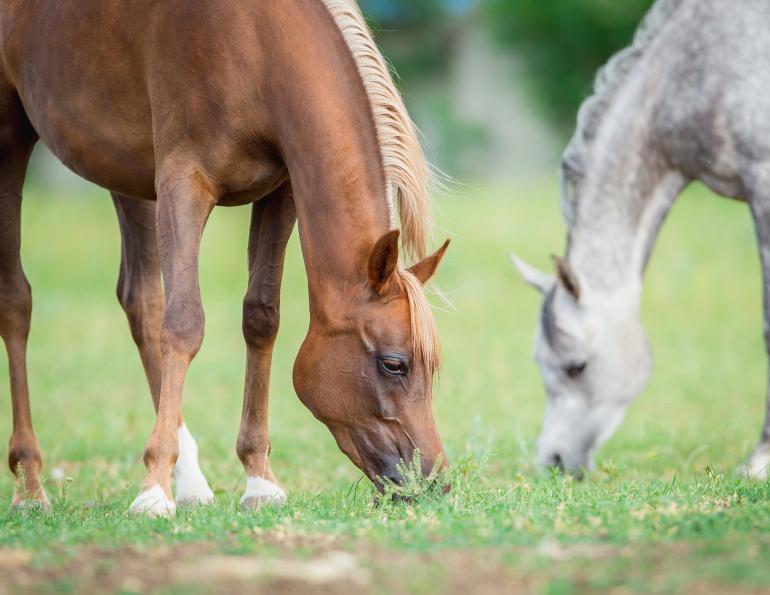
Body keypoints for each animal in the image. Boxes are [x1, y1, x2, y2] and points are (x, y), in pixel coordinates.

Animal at [0, 0, 450, 516]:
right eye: (394, 364)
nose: (433, 482)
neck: (256, 41)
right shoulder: (183, 182)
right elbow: (183, 325)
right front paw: (152, 490)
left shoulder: (282, 192)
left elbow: (261, 318)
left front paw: (258, 480)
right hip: (11, 137)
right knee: (16, 301)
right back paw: (31, 485)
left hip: (125, 169)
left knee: (140, 301)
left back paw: (190, 481)